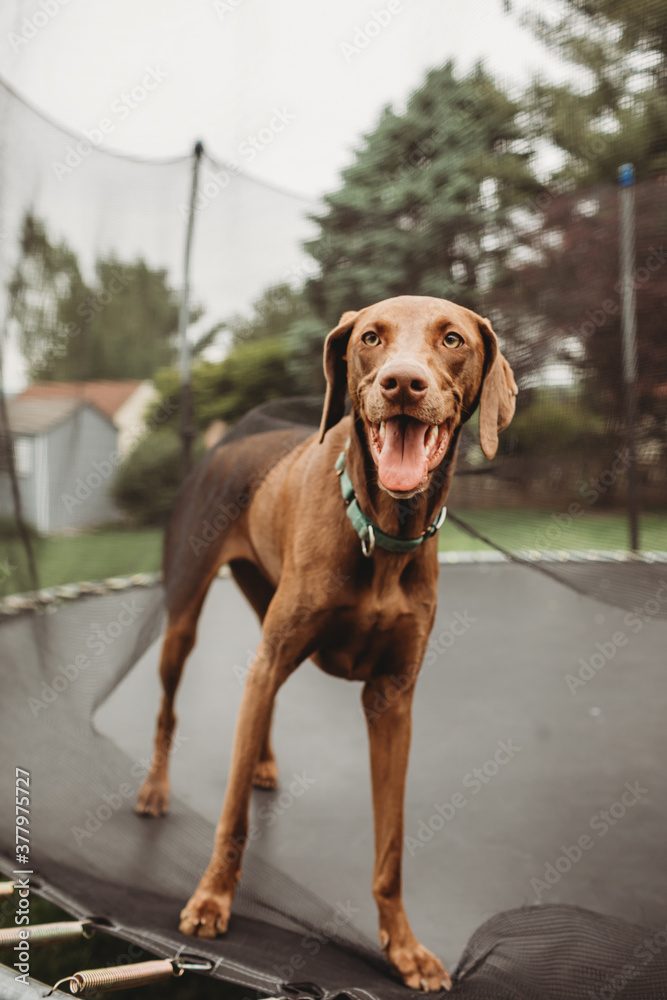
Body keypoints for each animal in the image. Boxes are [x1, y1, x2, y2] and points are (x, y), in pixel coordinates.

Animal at [137, 292, 516, 988]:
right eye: (371, 336)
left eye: (452, 339)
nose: (402, 383)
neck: (381, 534)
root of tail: (225, 448)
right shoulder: (276, 657)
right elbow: (231, 818)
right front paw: (211, 901)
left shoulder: (392, 700)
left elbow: (390, 847)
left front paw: (403, 946)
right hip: (185, 619)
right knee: (172, 707)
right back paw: (155, 789)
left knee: (261, 705)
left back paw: (260, 761)